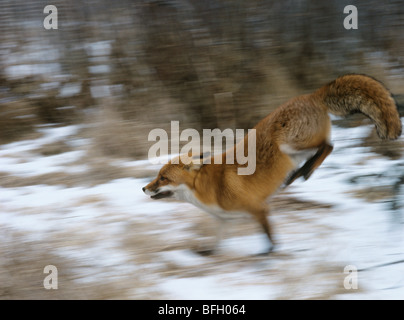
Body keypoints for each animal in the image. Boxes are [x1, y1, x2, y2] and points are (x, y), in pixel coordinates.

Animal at [142, 74, 400, 255]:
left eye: (163, 178)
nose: (143, 188)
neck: (209, 189)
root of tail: (311, 95)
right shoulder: (225, 220)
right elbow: (217, 243)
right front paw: (207, 254)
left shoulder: (259, 208)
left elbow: (269, 236)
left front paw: (269, 255)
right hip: (295, 149)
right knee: (326, 147)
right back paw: (301, 172)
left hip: (290, 145)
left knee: (328, 146)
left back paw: (303, 172)